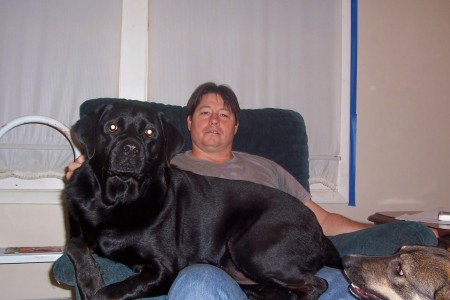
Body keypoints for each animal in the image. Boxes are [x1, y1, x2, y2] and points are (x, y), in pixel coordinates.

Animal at [66, 102, 342, 298]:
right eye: (112, 127)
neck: (118, 199)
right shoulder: (76, 227)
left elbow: (109, 293)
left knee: (317, 284)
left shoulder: (165, 269)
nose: (131, 149)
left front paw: (96, 289)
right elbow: (74, 246)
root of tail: (319, 231)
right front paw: (90, 280)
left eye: (149, 132)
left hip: (252, 247)